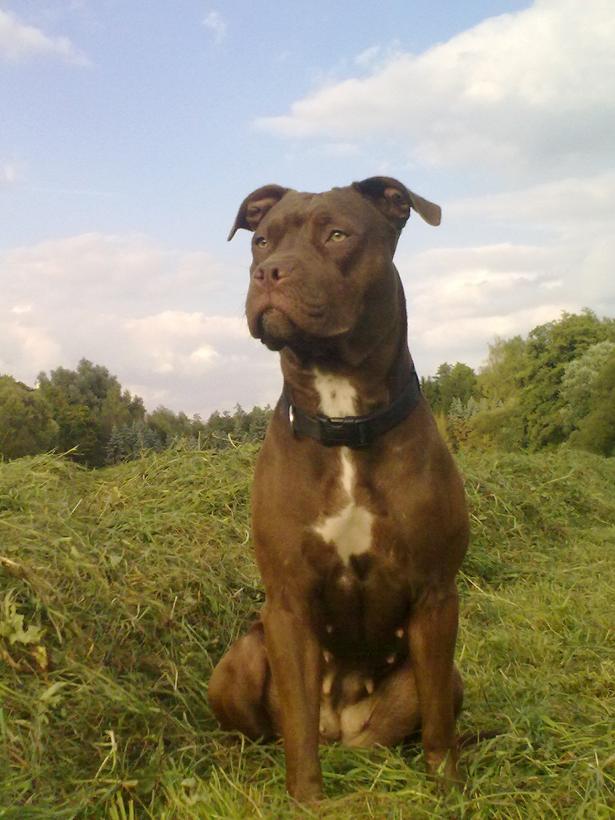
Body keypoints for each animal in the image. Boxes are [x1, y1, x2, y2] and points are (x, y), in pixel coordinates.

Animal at [209, 178, 470, 800]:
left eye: (337, 234)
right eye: (260, 241)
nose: (269, 272)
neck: (343, 420)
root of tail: (344, 727)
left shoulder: (436, 594)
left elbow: (438, 725)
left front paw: (447, 789)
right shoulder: (288, 602)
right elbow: (299, 727)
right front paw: (307, 800)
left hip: (445, 677)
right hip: (242, 656)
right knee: (271, 729)